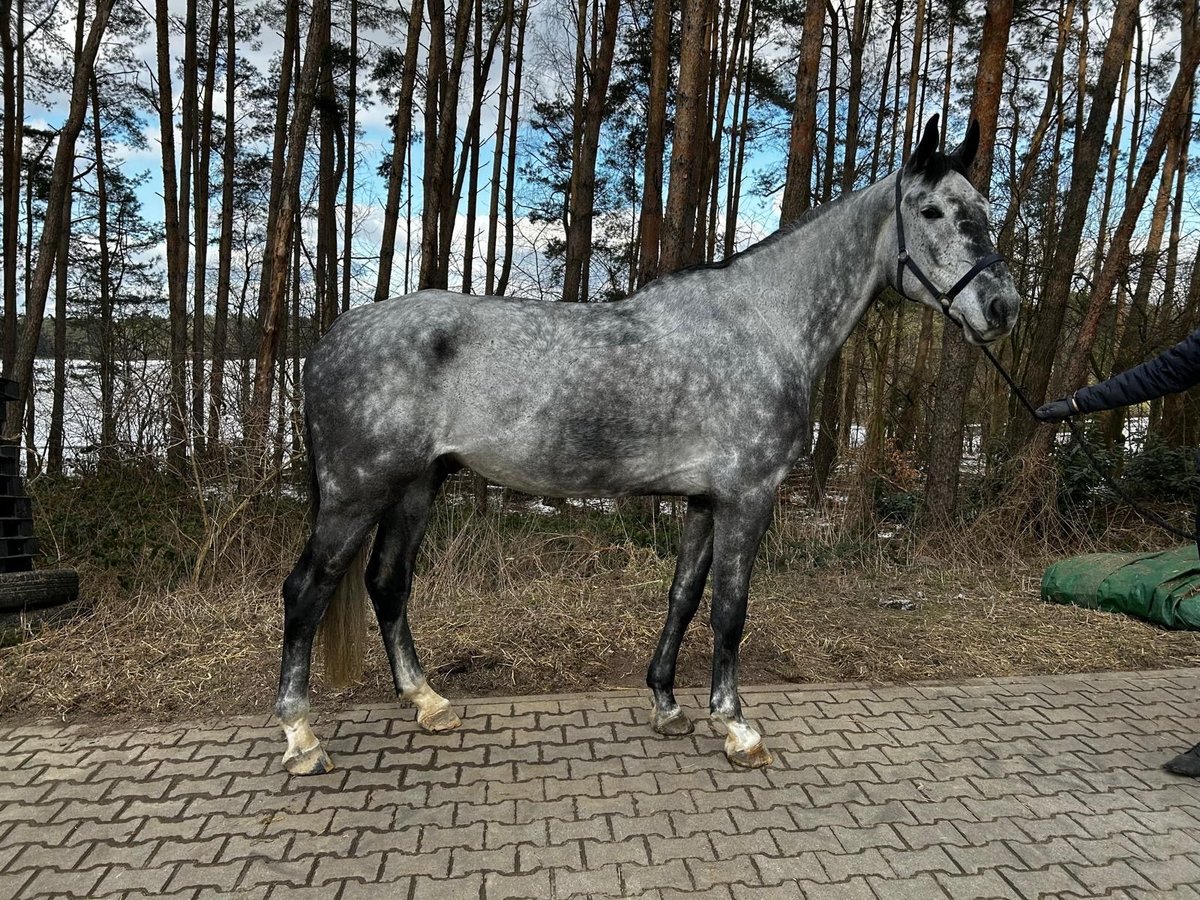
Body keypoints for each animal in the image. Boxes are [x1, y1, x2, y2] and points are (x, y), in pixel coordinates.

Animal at [274, 116, 1022, 777]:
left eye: (984, 208)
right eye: (930, 210)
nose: (1003, 307)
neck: (765, 325)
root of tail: (327, 342)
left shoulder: (704, 499)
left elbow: (683, 597)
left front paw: (666, 702)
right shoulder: (748, 497)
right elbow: (729, 610)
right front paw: (738, 728)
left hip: (417, 485)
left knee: (387, 581)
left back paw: (427, 701)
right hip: (357, 493)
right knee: (307, 590)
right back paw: (301, 737)